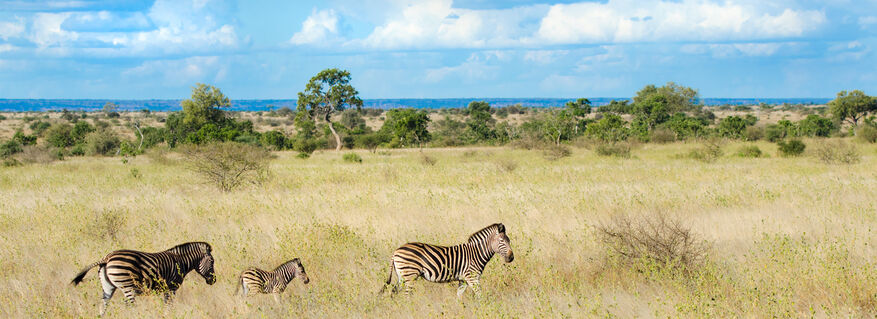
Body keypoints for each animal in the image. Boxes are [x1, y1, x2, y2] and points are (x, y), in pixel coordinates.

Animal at [70, 244, 217, 316]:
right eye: (212, 261)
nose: (213, 280)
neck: (181, 262)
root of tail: (106, 258)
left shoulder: (167, 288)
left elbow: (166, 304)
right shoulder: (172, 288)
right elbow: (169, 305)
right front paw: (168, 315)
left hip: (108, 287)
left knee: (103, 306)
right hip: (128, 286)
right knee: (130, 307)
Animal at [378, 224, 512, 298]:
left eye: (509, 241)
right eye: (501, 241)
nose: (511, 257)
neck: (476, 254)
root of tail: (396, 251)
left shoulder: (463, 280)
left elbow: (459, 297)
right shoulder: (472, 277)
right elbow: (481, 296)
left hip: (402, 276)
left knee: (393, 291)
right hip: (410, 275)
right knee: (407, 295)